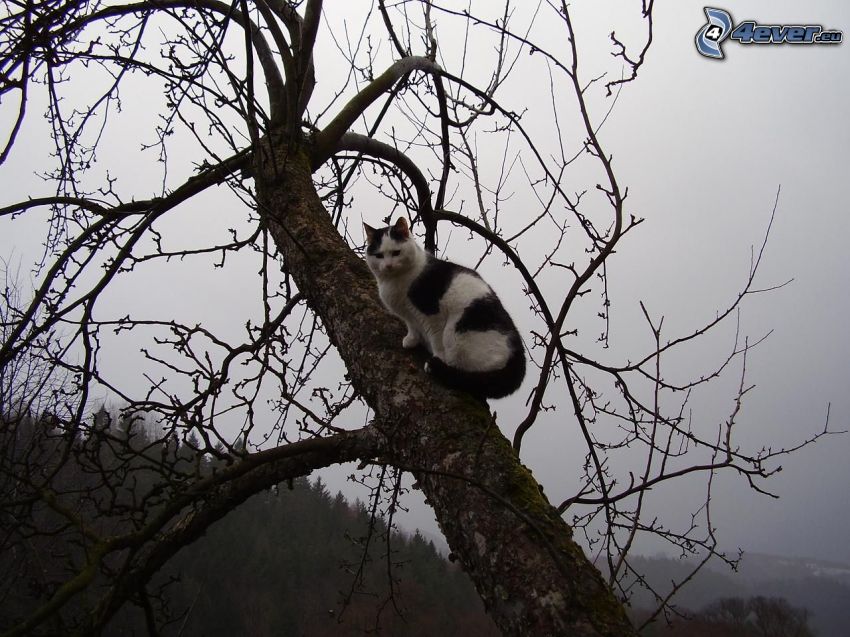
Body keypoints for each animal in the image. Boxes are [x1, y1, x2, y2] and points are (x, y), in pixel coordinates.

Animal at [362, 219, 524, 398]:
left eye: (396, 252)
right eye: (379, 255)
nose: (388, 265)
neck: (394, 282)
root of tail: (518, 353)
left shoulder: (433, 315)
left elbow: (436, 340)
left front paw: (438, 357)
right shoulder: (408, 314)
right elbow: (412, 326)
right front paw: (411, 340)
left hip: (455, 334)